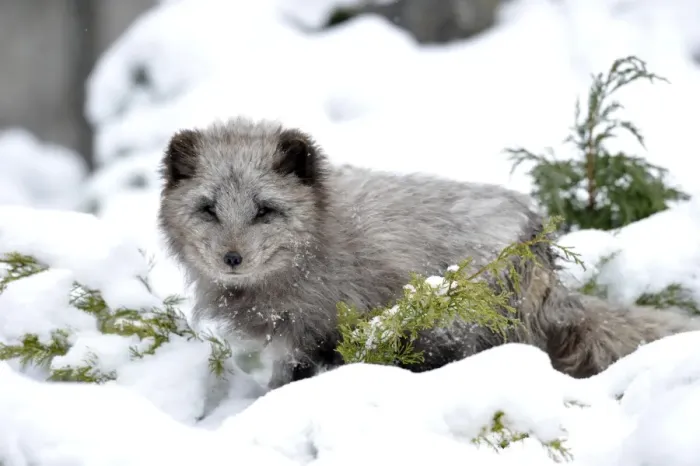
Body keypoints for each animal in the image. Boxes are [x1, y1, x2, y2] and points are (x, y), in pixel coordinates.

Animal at [157, 116, 699, 389]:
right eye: (208, 209)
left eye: (265, 210)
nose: (232, 260)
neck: (320, 239)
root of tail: (539, 248)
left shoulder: (312, 334)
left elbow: (289, 381)